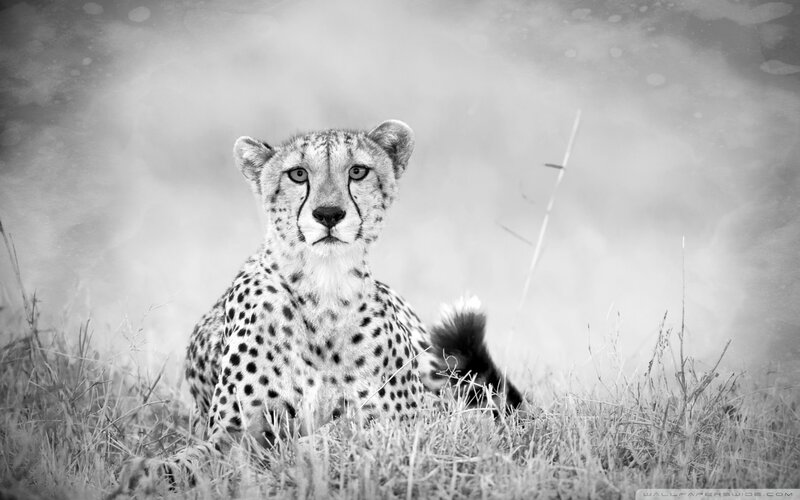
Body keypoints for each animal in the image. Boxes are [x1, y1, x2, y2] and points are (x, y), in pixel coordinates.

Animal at [114, 120, 522, 494]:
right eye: (298, 174)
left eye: (357, 171)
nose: (328, 214)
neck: (324, 287)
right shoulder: (233, 432)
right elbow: (196, 458)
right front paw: (148, 474)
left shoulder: (408, 419)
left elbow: (337, 433)